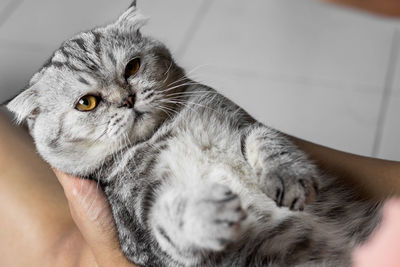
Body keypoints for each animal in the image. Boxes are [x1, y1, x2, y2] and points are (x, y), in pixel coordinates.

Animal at [7, 2, 382, 267]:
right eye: (87, 103)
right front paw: (206, 213)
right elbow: (168, 222)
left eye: (132, 67)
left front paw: (288, 176)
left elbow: (267, 141)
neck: (163, 133)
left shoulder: (243, 125)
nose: (127, 99)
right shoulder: (141, 226)